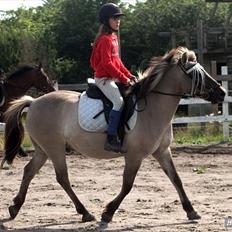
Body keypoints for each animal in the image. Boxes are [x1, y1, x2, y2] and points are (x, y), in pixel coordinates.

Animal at [0, 47, 225, 225]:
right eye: (195, 74)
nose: (222, 93)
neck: (153, 109)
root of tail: (33, 102)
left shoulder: (162, 151)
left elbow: (176, 179)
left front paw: (191, 211)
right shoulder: (134, 155)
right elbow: (127, 184)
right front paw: (108, 212)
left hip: (43, 150)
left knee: (29, 171)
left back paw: (15, 207)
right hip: (54, 148)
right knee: (62, 177)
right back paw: (85, 212)